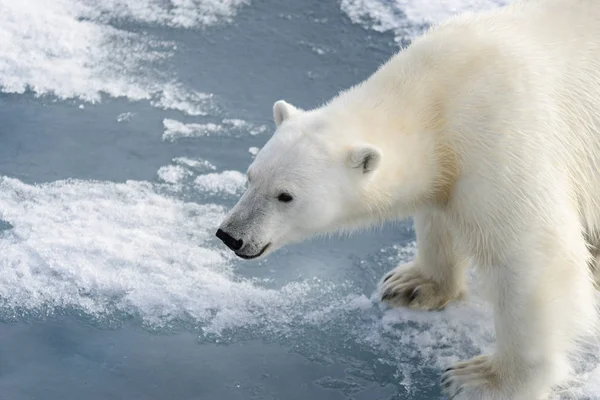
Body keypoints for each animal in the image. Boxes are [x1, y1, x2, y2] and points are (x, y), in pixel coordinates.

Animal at [216, 1, 600, 398]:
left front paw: (483, 380)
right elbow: (439, 215)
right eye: (251, 177)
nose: (231, 235)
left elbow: (537, 258)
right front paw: (412, 285)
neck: (439, 94)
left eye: (285, 196)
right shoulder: (450, 163)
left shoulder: (503, 136)